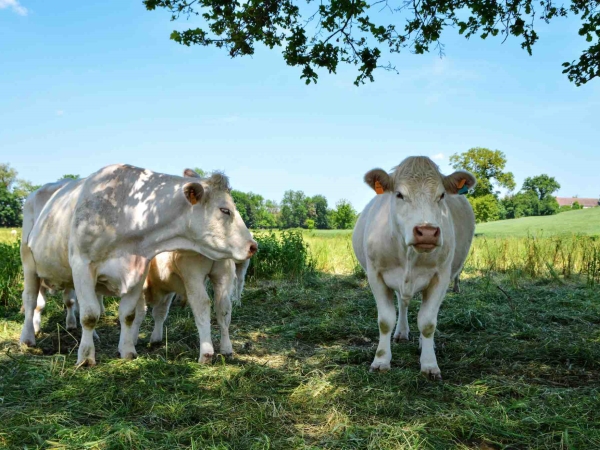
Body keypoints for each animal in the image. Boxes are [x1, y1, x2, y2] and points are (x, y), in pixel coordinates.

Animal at [19, 164, 255, 366]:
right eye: (225, 210)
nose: (253, 245)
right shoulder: (82, 265)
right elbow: (89, 314)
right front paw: (86, 357)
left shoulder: (139, 271)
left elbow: (128, 314)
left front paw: (127, 350)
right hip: (28, 263)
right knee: (31, 301)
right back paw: (28, 336)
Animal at [352, 156, 478, 378]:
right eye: (399, 194)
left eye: (441, 195)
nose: (427, 231)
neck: (409, 253)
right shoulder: (375, 275)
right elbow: (385, 320)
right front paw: (381, 360)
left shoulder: (441, 277)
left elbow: (427, 323)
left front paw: (429, 364)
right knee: (402, 304)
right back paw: (401, 332)